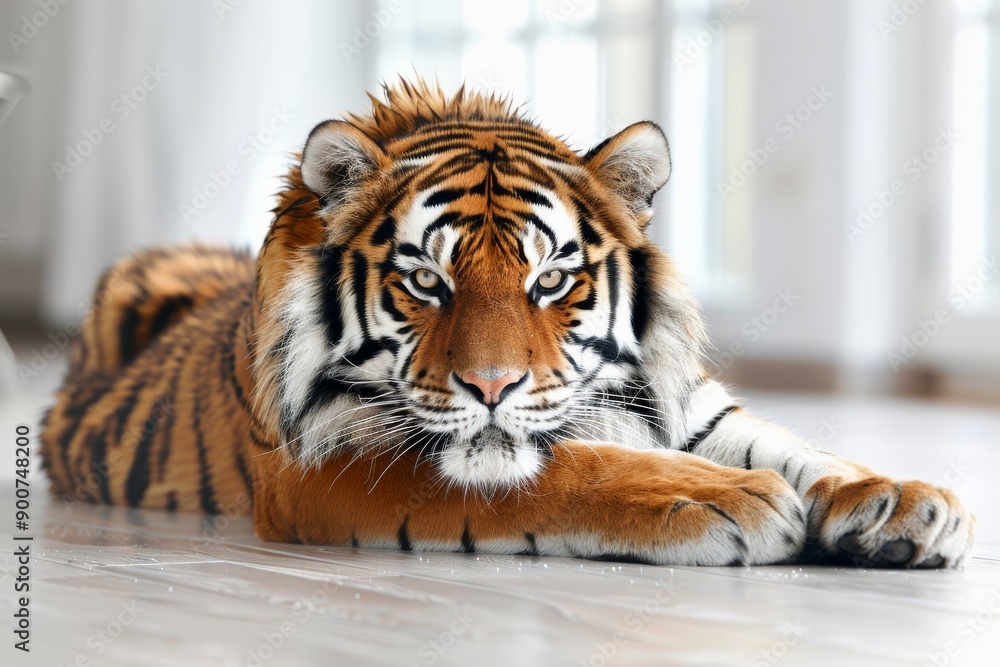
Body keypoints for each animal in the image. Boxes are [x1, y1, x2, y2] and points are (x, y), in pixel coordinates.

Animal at [40, 79, 974, 568]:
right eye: (426, 280)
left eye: (551, 278)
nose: (491, 385)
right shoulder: (325, 461)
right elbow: (570, 467)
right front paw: (727, 497)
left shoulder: (686, 405)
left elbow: (798, 449)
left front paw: (902, 500)